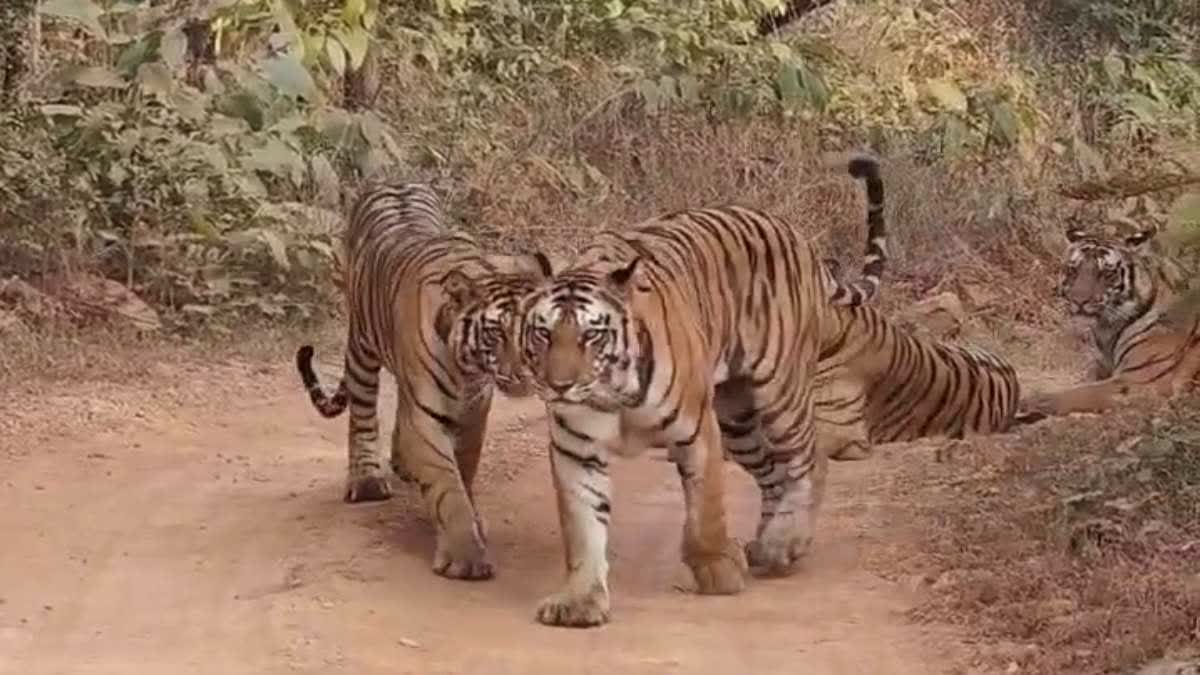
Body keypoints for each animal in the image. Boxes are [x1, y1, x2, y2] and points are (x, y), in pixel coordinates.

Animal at [294, 178, 553, 580]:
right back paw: (367, 481)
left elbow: (464, 470)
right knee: (363, 414)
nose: (528, 372)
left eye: (537, 328)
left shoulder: (474, 413)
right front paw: (465, 555)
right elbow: (448, 485)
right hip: (362, 348)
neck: (469, 371)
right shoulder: (425, 418)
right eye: (497, 332)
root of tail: (393, 180)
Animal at [513, 155, 887, 627]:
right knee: (774, 475)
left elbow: (705, 509)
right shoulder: (576, 449)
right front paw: (580, 600)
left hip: (780, 393)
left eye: (591, 335)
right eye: (543, 333)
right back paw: (766, 546)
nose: (559, 384)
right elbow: (583, 525)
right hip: (738, 418)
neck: (611, 392)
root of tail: (797, 236)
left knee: (810, 460)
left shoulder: (697, 431)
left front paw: (715, 570)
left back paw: (785, 543)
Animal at [1018, 226, 1200, 419]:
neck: (1107, 329)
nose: (1079, 301)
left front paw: (1031, 402)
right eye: (1074, 270)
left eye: (1106, 273)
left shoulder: (1140, 380)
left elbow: (1082, 392)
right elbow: (1084, 382)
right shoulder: (1100, 368)